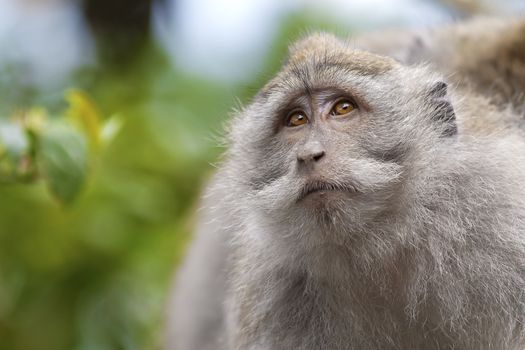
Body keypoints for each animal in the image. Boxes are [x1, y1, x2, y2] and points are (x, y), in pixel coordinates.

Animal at [166, 20, 524, 348]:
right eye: (296, 119)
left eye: (343, 108)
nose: (309, 155)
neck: (383, 246)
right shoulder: (274, 291)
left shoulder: (500, 218)